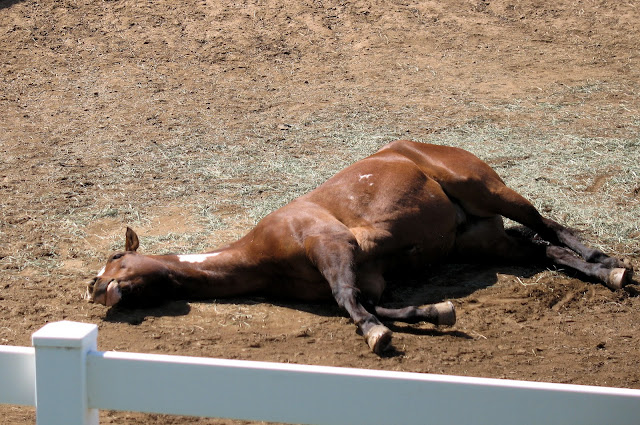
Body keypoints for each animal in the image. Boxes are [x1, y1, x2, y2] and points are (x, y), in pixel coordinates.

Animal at [86, 140, 633, 354]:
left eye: (115, 257)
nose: (93, 287)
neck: (262, 253)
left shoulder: (334, 247)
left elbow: (351, 303)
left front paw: (376, 335)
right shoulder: (367, 275)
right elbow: (377, 305)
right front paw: (435, 313)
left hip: (487, 189)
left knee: (550, 225)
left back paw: (610, 264)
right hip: (484, 241)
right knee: (544, 251)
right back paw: (605, 273)